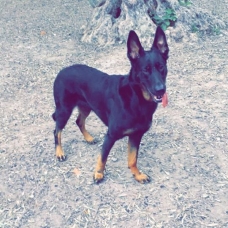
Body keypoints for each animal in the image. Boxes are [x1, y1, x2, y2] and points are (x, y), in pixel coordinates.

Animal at [52, 26, 168, 183]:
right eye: (146, 70)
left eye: (161, 67)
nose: (161, 89)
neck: (136, 99)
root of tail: (61, 71)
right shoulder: (111, 136)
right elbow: (103, 157)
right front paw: (98, 173)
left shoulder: (136, 136)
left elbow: (132, 159)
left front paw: (137, 174)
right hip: (64, 110)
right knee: (57, 130)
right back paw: (59, 152)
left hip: (86, 106)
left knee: (79, 121)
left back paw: (88, 138)